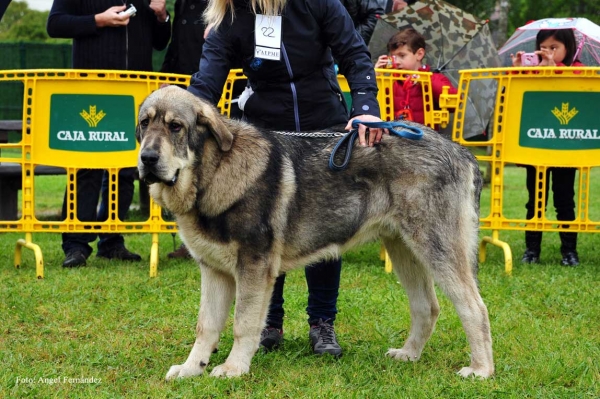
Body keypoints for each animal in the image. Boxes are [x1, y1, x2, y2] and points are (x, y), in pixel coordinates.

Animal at [138, 86, 494, 380]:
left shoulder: (253, 268)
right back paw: (409, 354)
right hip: (403, 250)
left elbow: (243, 323)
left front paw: (233, 368)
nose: (147, 159)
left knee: (474, 307)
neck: (212, 172)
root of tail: (461, 152)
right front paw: (191, 368)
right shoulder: (213, 271)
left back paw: (480, 369)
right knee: (426, 307)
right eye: (144, 124)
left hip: (437, 249)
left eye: (175, 126)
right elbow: (206, 326)